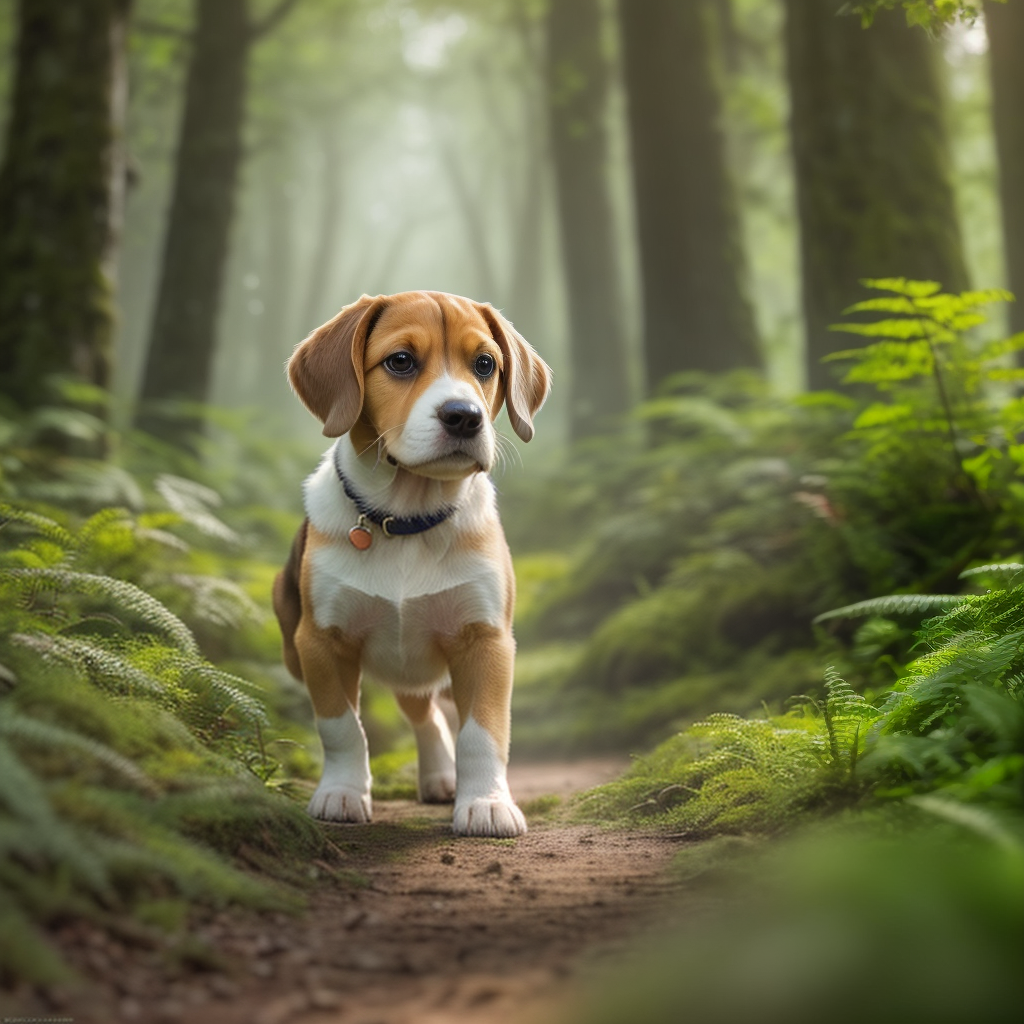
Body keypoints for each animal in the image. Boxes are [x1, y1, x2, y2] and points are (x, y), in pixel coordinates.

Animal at [272, 292, 552, 835]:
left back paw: (444, 778)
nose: (464, 416)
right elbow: (341, 727)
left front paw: (485, 803)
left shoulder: (486, 641)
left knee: (428, 714)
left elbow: (483, 732)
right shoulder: (321, 642)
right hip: (296, 641)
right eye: (400, 361)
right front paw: (342, 793)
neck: (406, 520)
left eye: (485, 364)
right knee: (418, 710)